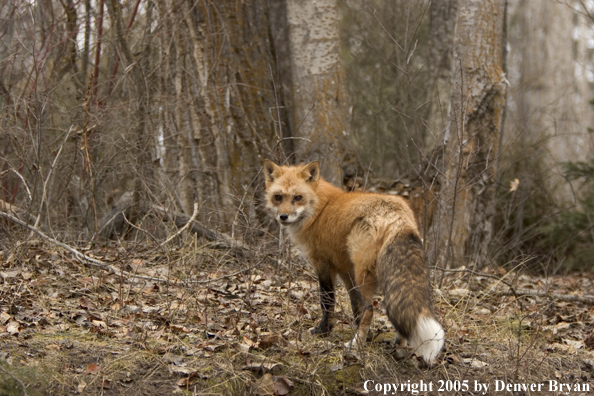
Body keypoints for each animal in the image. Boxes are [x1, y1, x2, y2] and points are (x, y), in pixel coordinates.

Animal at [262, 159, 442, 364]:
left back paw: (356, 344)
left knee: (370, 309)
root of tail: (398, 215)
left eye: (297, 197)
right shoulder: (346, 270)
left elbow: (327, 302)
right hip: (371, 274)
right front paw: (364, 333)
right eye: (278, 197)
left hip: (363, 273)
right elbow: (355, 307)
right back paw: (398, 345)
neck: (319, 210)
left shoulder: (323, 265)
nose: (283, 217)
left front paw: (324, 331)